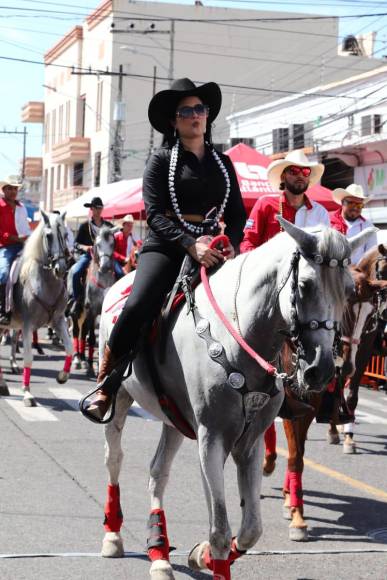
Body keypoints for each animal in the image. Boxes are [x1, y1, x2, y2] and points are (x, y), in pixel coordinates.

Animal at [0, 211, 73, 406]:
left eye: (65, 235)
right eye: (48, 236)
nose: (61, 269)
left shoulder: (59, 321)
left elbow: (70, 349)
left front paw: (62, 376)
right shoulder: (27, 325)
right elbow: (28, 357)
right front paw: (27, 393)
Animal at [69, 224, 118, 378]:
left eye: (112, 244)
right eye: (97, 244)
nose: (105, 267)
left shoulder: (101, 312)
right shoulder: (92, 310)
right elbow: (90, 338)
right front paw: (90, 366)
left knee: (83, 331)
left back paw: (83, 359)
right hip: (78, 311)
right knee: (77, 331)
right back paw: (77, 359)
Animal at [91, 220, 372, 576]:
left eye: (348, 291)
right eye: (305, 285)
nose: (320, 370)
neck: (237, 336)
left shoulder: (249, 443)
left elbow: (251, 529)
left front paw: (202, 555)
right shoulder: (211, 439)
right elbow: (221, 531)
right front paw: (211, 554)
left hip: (174, 418)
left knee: (158, 472)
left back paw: (159, 552)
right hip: (122, 400)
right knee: (114, 459)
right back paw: (113, 535)